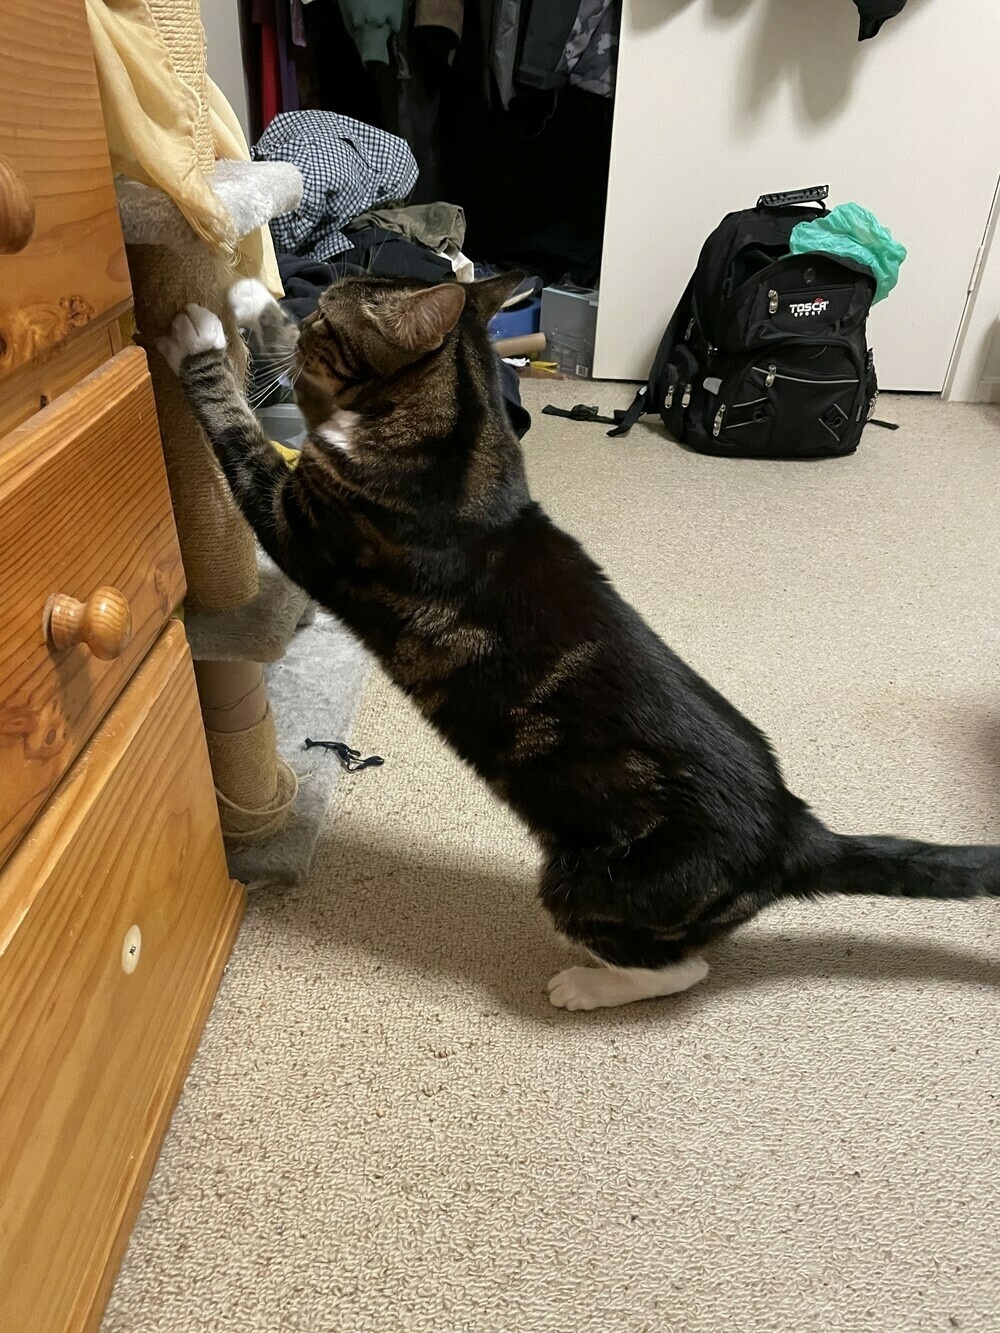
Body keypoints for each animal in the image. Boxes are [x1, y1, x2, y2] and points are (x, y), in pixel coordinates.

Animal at [158, 278, 1000, 1007]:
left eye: (327, 320)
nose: (306, 307)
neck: (464, 439)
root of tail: (796, 830)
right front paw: (250, 298)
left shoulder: (300, 517)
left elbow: (241, 432)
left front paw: (204, 329)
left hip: (587, 886)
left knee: (682, 968)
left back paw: (583, 986)